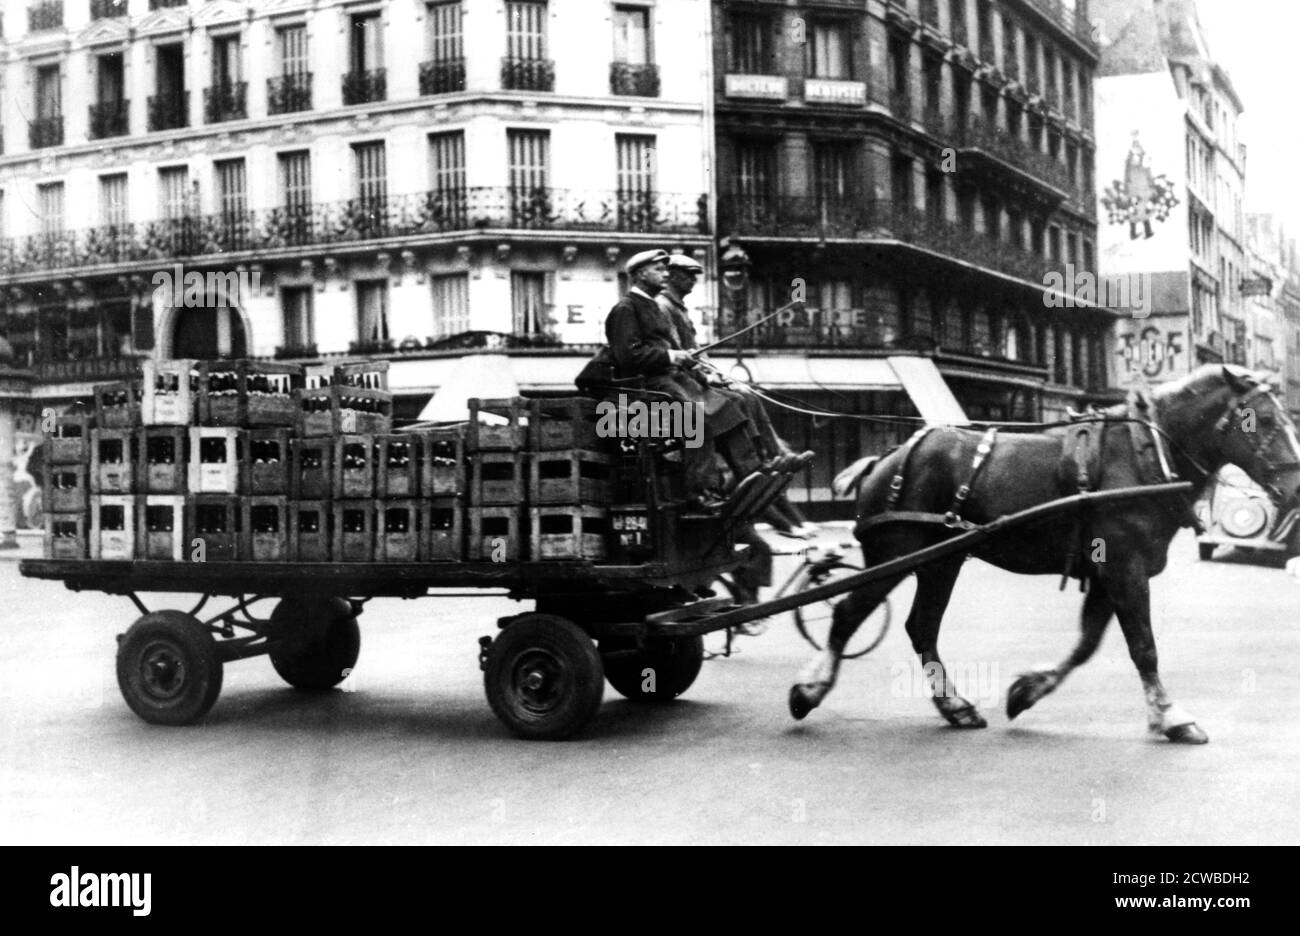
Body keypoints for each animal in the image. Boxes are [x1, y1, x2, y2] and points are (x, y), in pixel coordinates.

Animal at [785, 366, 1300, 743]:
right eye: (1264, 421)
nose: (1295, 491)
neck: (1145, 454)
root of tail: (883, 461)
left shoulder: (1108, 573)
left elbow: (1087, 644)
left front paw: (1027, 691)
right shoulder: (1125, 568)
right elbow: (1143, 646)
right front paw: (1171, 716)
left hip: (940, 563)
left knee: (922, 627)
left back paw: (955, 706)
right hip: (896, 558)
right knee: (849, 615)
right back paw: (810, 691)